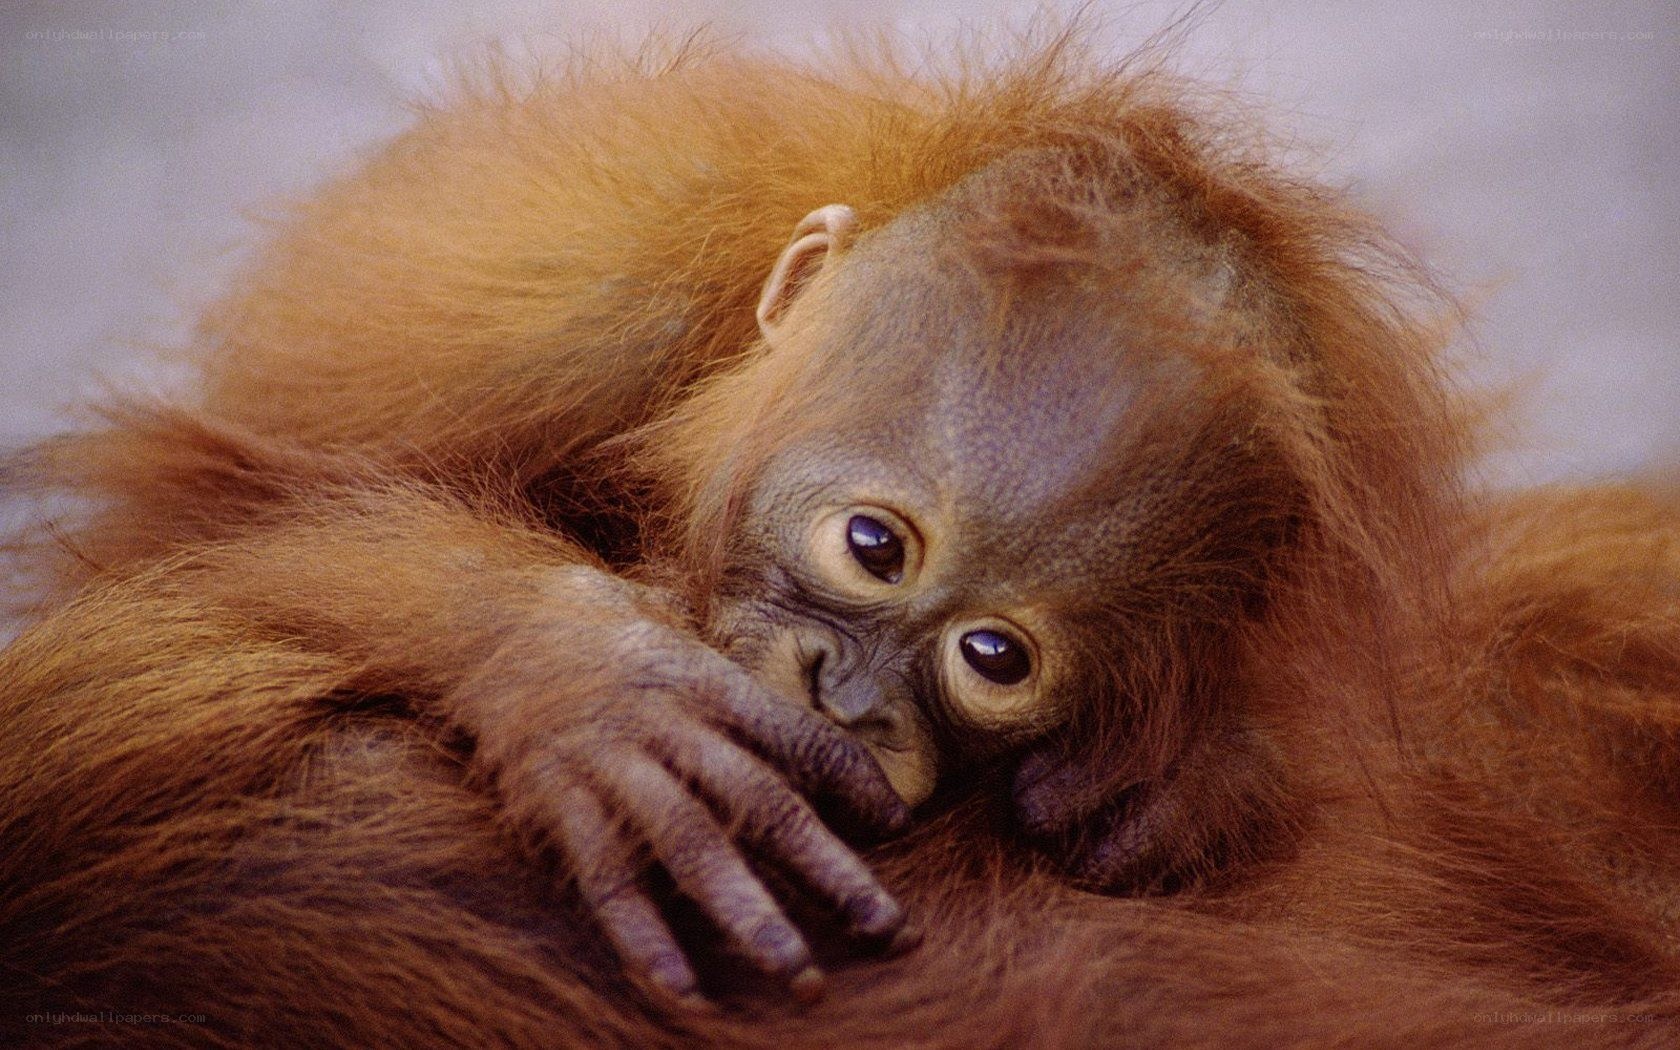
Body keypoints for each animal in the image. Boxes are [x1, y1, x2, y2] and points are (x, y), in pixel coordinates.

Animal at [4, 28, 1680, 1049]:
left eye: (993, 656)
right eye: (874, 547)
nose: (849, 701)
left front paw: (1184, 783)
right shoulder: (573, 298)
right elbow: (223, 506)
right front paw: (593, 687)